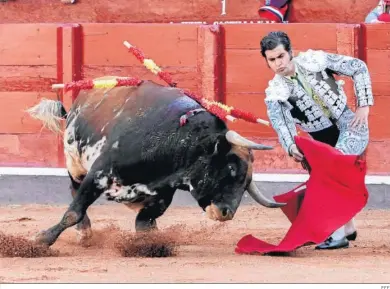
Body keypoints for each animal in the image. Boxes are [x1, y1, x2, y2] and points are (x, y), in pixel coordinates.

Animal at [25, 77, 284, 246]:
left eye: (246, 182)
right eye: (230, 168)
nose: (226, 213)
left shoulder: (161, 196)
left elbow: (143, 224)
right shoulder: (98, 175)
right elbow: (73, 212)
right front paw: (41, 239)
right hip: (75, 163)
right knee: (73, 189)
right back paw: (84, 233)